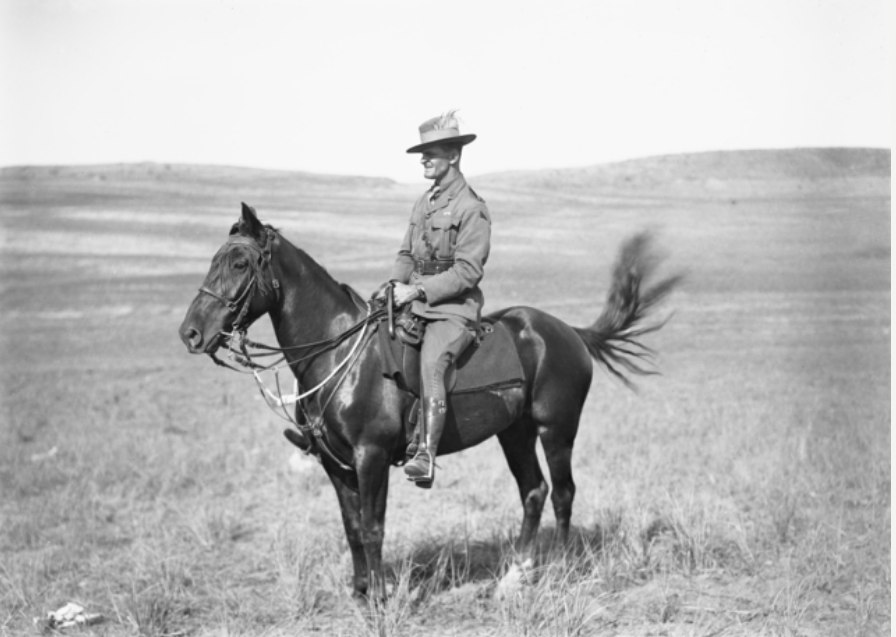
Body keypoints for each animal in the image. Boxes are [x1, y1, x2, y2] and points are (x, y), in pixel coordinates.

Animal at [178, 202, 676, 596]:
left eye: (240, 264)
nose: (190, 334)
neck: (338, 352)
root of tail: (568, 331)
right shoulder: (336, 464)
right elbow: (352, 528)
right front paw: (360, 591)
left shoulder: (372, 456)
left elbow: (373, 528)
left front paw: (379, 600)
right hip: (514, 433)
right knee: (534, 491)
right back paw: (517, 574)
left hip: (557, 429)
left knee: (564, 493)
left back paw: (561, 568)